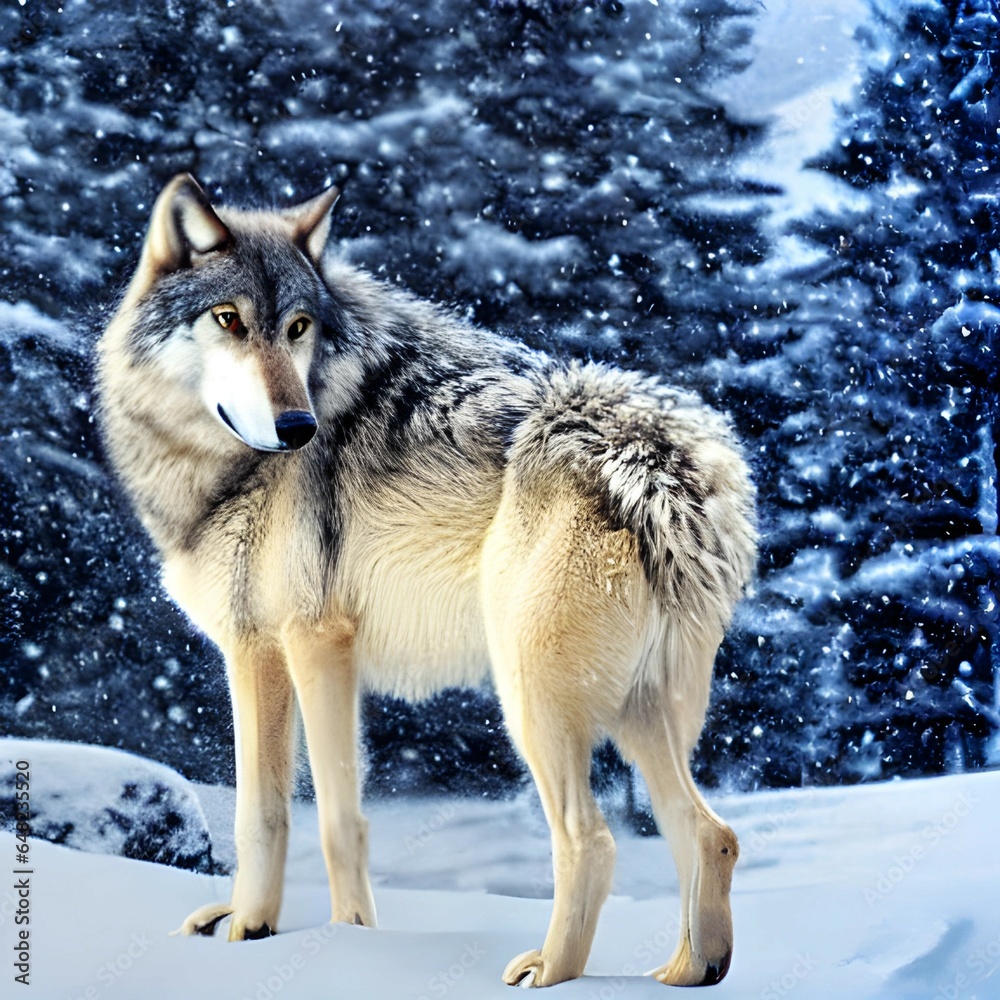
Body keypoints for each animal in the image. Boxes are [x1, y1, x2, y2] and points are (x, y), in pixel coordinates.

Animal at [96, 174, 757, 988]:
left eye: (298, 327)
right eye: (229, 319)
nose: (297, 428)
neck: (216, 467)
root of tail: (665, 465)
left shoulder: (293, 646)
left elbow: (289, 816)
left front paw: (271, 934)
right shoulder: (298, 654)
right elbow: (321, 814)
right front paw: (313, 934)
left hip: (529, 697)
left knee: (591, 841)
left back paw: (552, 975)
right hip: (637, 711)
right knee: (710, 832)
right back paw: (687, 972)